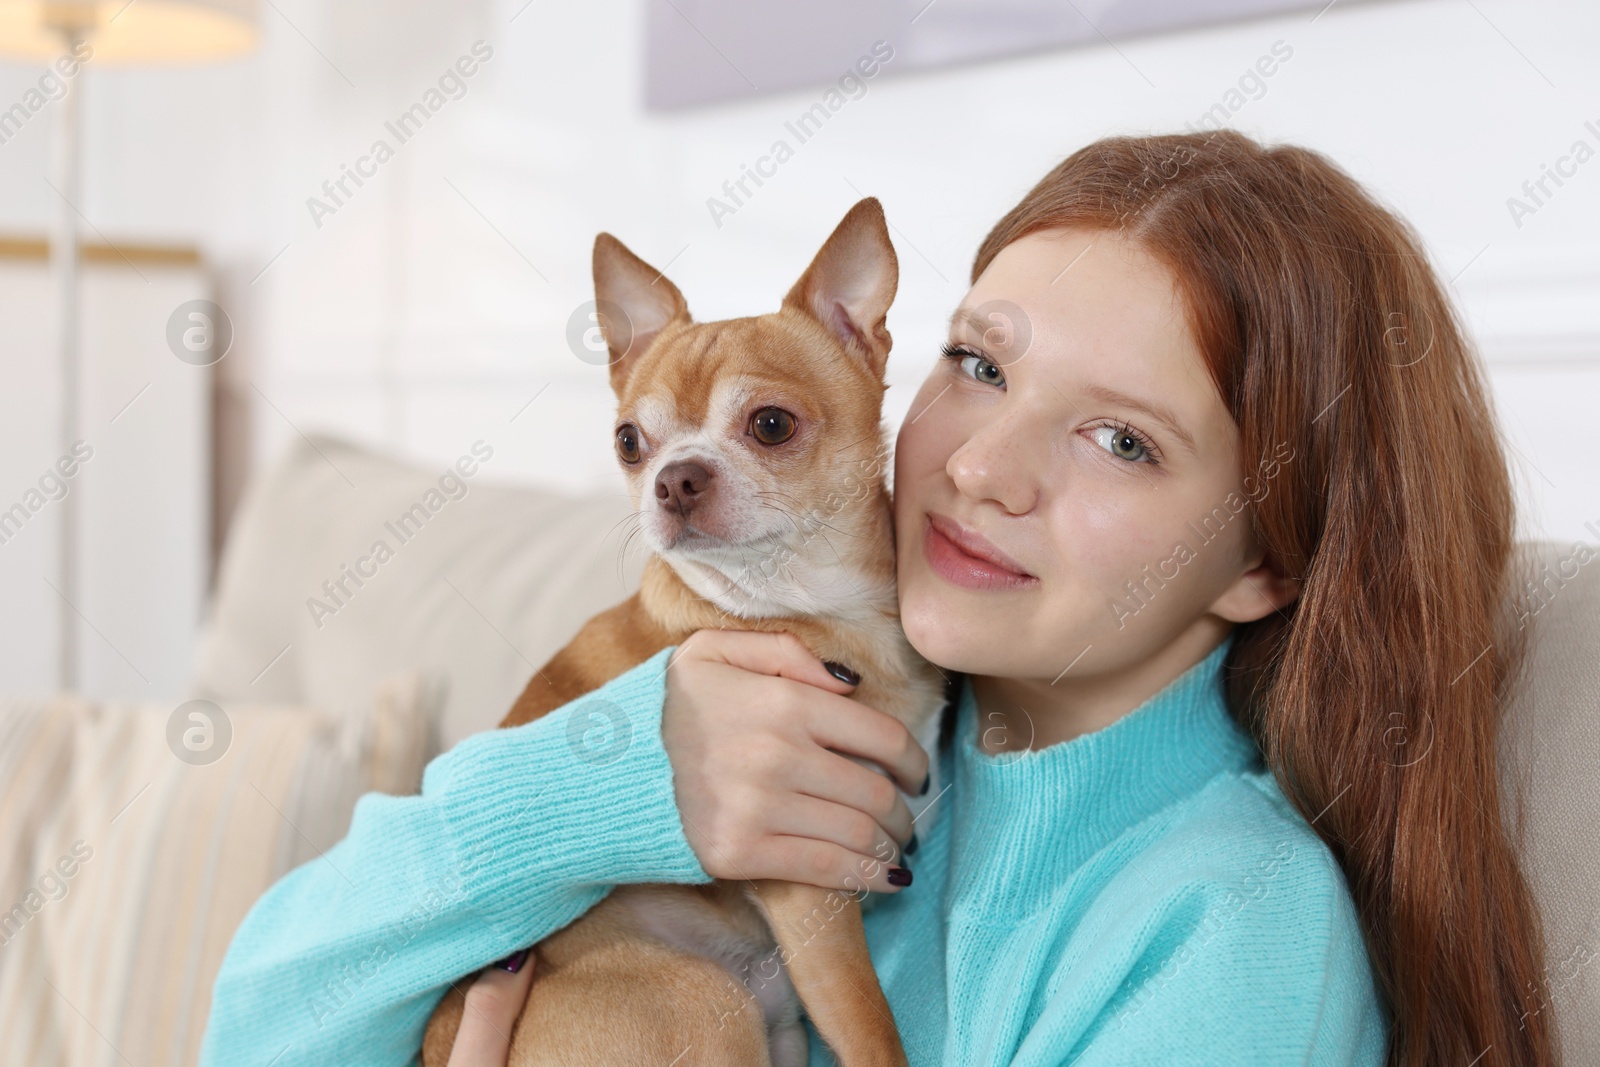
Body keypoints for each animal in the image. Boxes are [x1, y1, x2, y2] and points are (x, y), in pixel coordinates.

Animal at [422, 199, 947, 1067]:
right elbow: (875, 1031)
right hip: (703, 1002)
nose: (674, 478)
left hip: (777, 1024)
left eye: (771, 424)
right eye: (629, 442)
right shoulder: (812, 891)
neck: (807, 604)